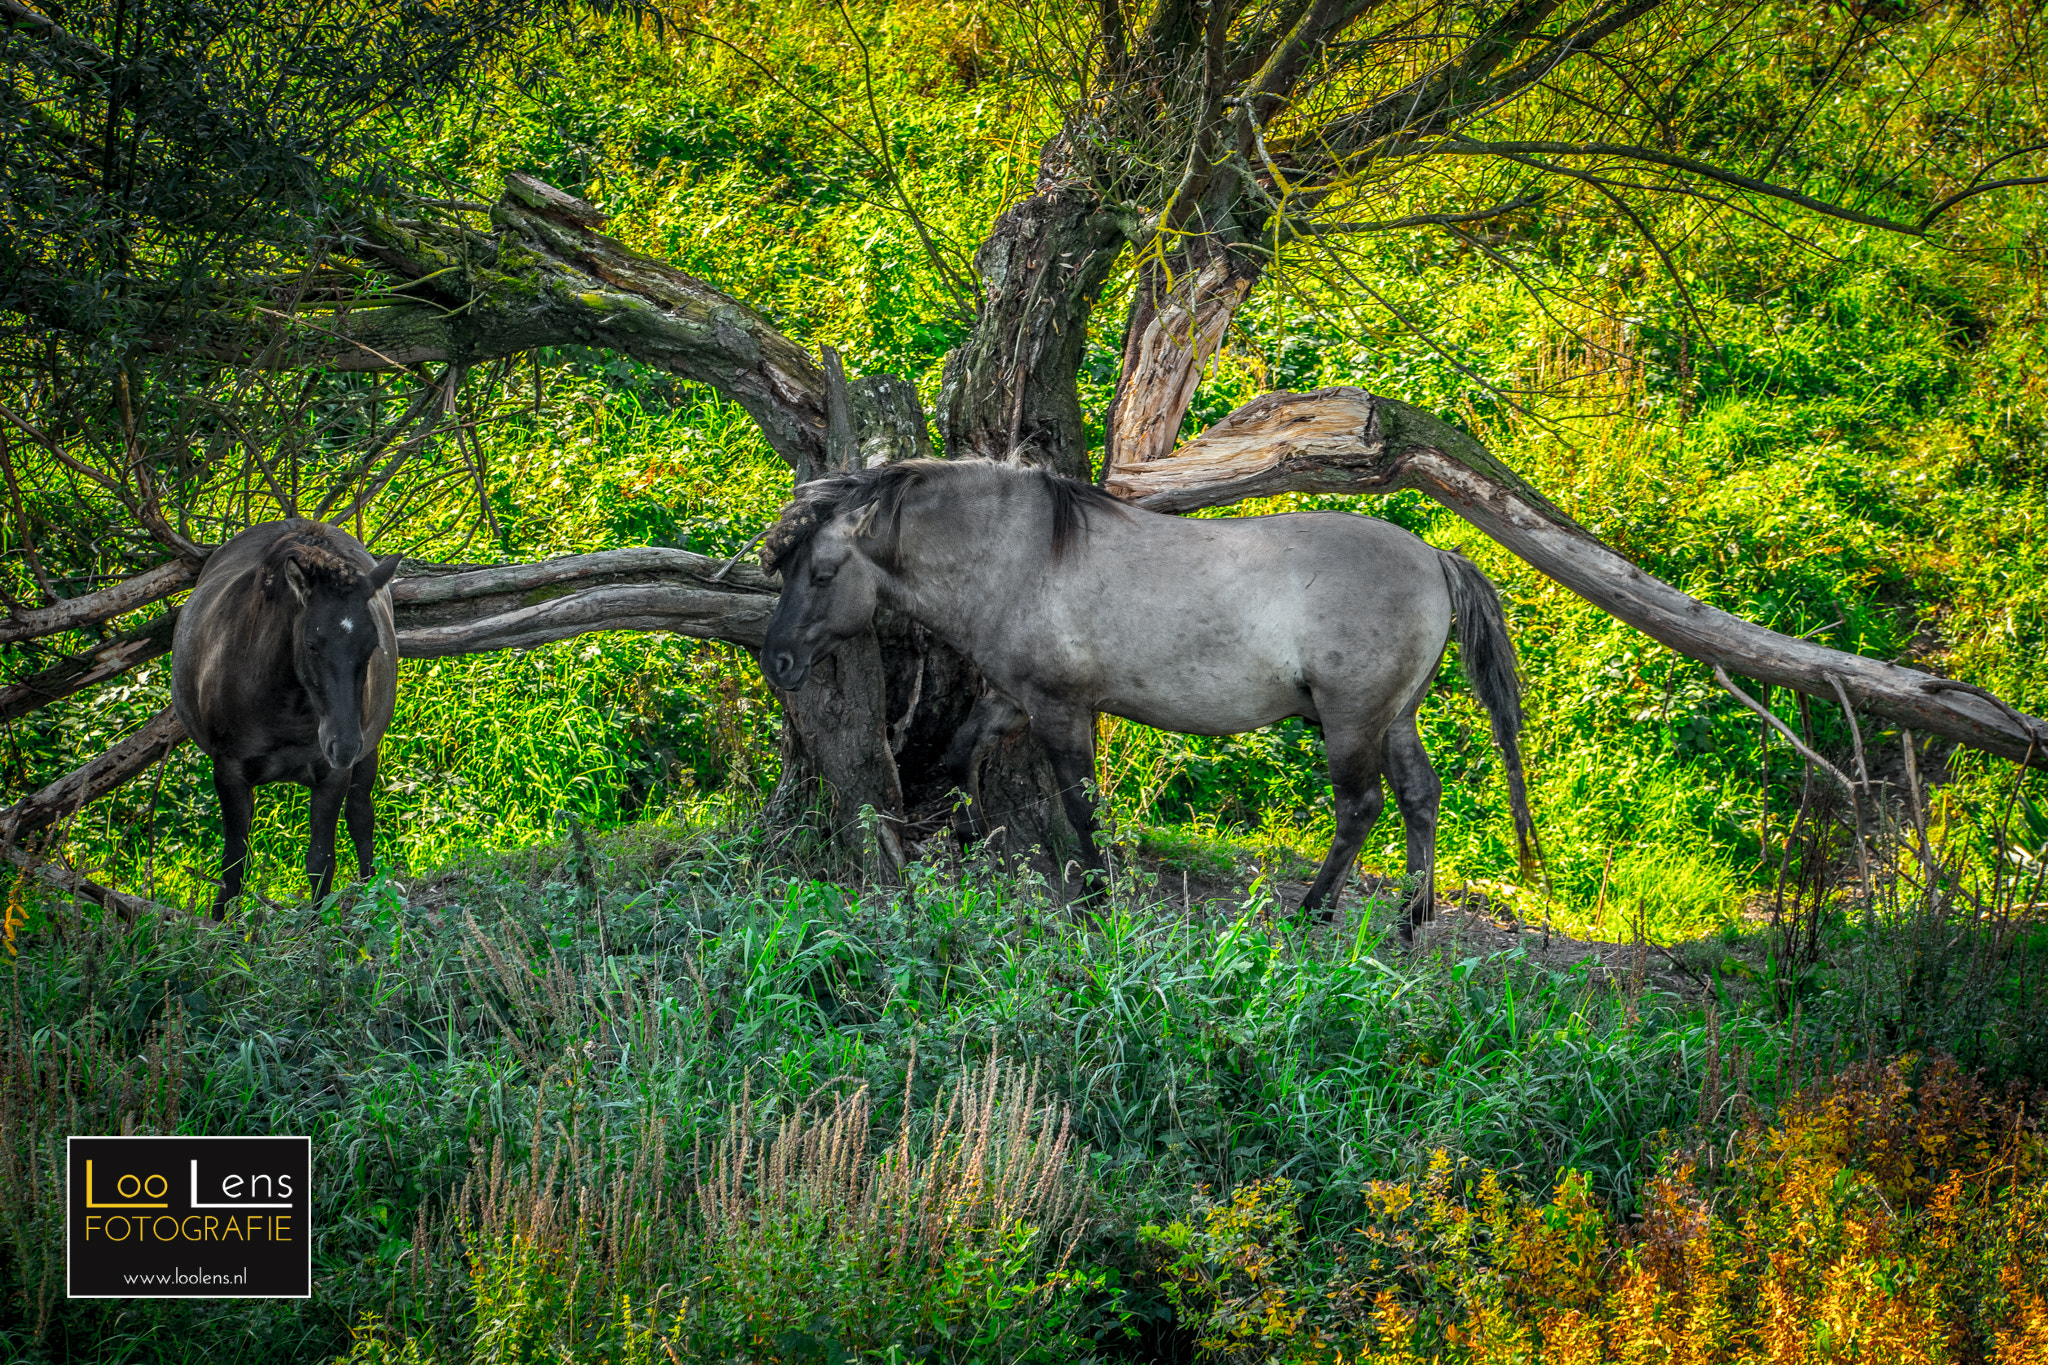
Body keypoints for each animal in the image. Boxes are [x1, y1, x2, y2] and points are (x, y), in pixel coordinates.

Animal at [172, 523, 399, 916]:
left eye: (371, 645)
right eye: (312, 645)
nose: (343, 746)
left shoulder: (331, 775)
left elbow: (321, 860)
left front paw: (316, 924)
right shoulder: (229, 772)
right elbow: (234, 863)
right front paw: (220, 923)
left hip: (367, 756)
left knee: (361, 818)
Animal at [761, 458, 1531, 941]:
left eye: (822, 572)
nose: (778, 662)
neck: (1021, 559)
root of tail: (1434, 557)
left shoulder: (1060, 708)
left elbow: (1081, 804)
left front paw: (1096, 900)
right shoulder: (1015, 699)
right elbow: (959, 755)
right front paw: (971, 838)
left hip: (1351, 719)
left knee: (1360, 807)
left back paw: (1313, 911)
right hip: (1394, 718)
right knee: (1419, 797)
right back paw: (1410, 917)